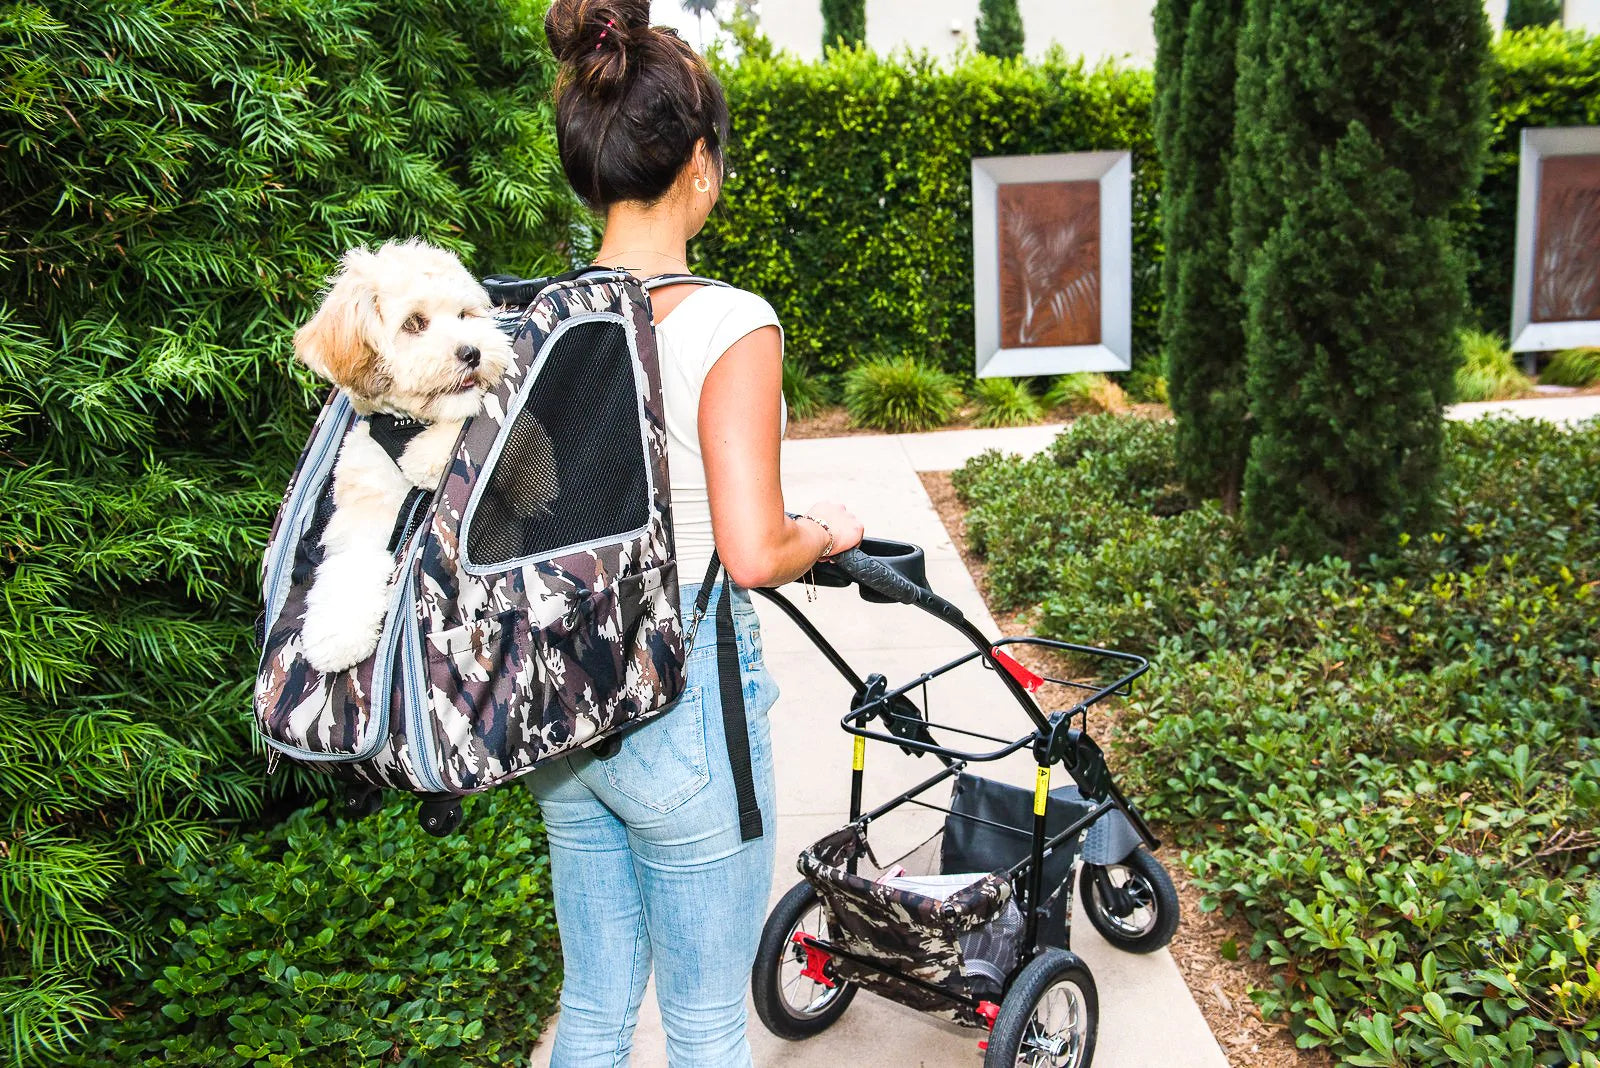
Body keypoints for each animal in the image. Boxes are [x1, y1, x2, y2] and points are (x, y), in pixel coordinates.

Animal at [291, 244, 508, 674]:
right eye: (414, 323)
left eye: (464, 315)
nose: (472, 351)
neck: (406, 426)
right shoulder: (364, 518)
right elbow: (350, 567)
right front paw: (335, 634)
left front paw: (429, 456)